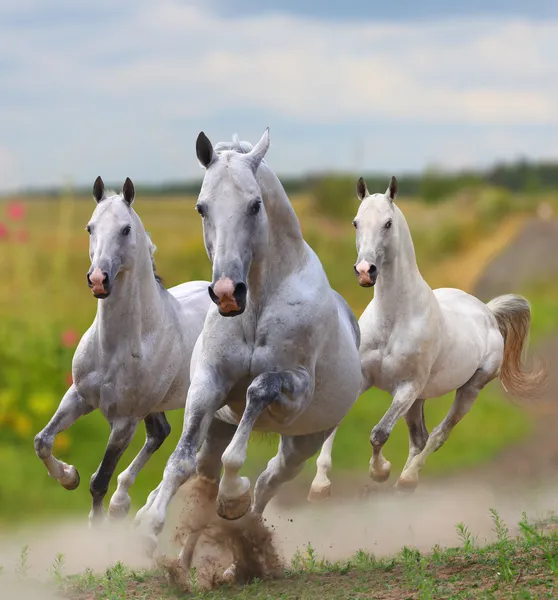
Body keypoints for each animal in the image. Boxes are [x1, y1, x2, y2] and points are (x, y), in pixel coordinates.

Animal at [34, 176, 212, 524]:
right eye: (90, 227)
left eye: (126, 229)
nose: (98, 280)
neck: (115, 347)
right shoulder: (79, 397)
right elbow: (42, 441)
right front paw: (69, 477)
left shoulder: (125, 421)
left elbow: (99, 480)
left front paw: (98, 525)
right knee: (160, 433)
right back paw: (123, 503)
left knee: (191, 454)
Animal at [135, 129, 364, 556]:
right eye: (201, 208)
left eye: (255, 205)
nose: (227, 293)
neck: (257, 305)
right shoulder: (208, 385)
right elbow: (180, 460)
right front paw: (148, 527)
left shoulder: (294, 391)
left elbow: (257, 392)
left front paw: (232, 496)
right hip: (218, 428)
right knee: (204, 478)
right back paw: (182, 560)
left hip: (302, 443)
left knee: (267, 483)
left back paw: (241, 540)